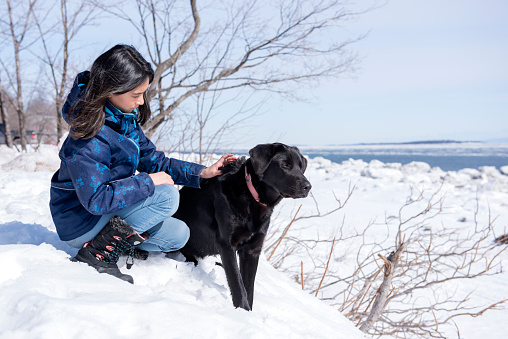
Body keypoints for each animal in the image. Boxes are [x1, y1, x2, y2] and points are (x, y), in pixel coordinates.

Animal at [174, 142, 310, 312]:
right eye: (285, 165)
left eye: (301, 167)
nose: (308, 187)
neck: (252, 195)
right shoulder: (227, 245)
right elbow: (238, 284)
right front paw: (242, 311)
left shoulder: (253, 249)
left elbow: (249, 288)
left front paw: (248, 313)